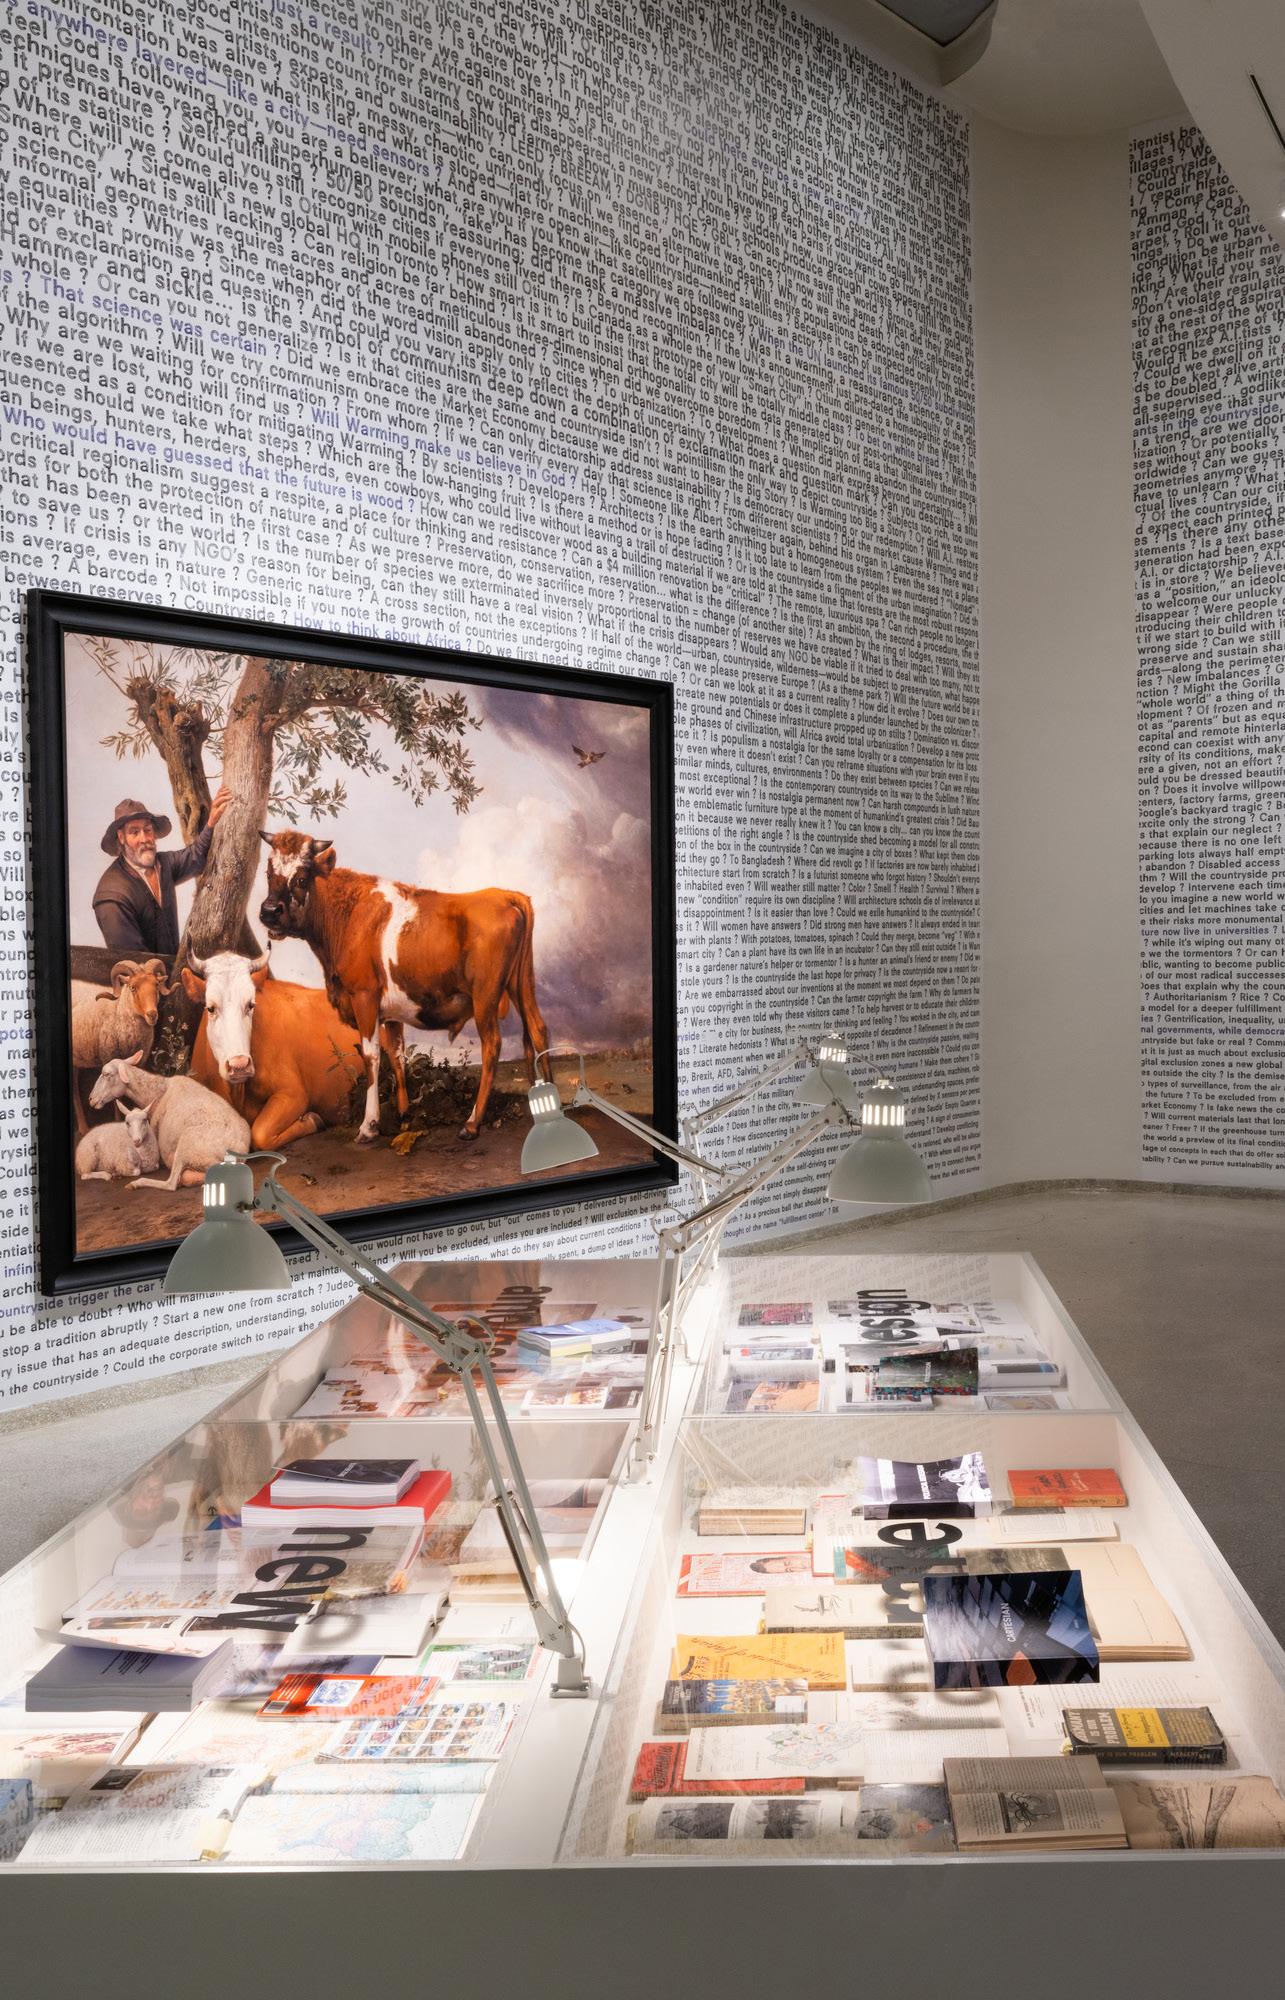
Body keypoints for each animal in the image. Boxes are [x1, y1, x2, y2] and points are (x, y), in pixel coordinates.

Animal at [182, 949, 369, 1151]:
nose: (239, 1065)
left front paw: (312, 1120)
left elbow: (259, 1134)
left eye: (251, 1005)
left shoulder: (293, 1093)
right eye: (210, 1008)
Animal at [258, 831, 549, 1144]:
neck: (348, 916)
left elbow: (371, 1056)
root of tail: (503, 894)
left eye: (301, 878)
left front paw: (369, 1125)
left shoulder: (364, 996)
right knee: (537, 1029)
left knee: (492, 1044)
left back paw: (472, 1123)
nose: (269, 912)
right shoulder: (390, 1013)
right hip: (521, 983)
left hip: (486, 994)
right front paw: (403, 1114)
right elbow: (396, 1055)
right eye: (268, 873)